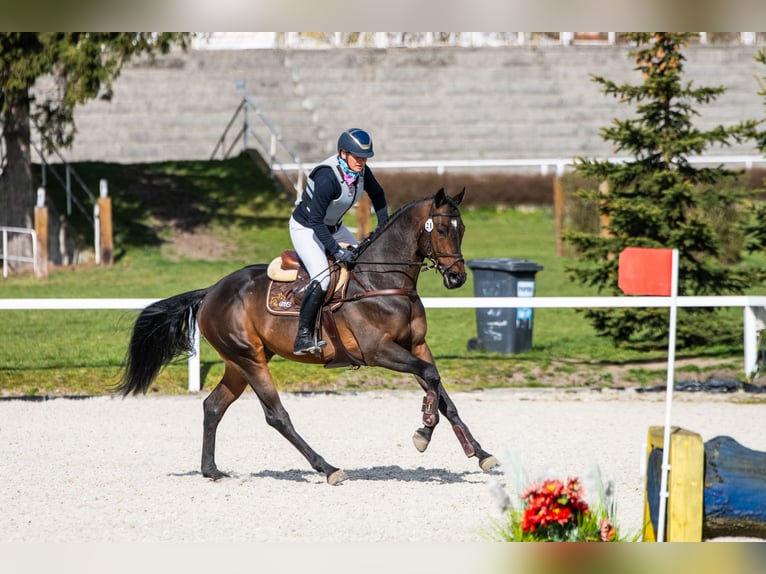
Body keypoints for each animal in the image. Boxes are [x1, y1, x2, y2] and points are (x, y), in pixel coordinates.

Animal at [116, 188, 497, 484]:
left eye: (462, 229)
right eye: (443, 229)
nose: (458, 278)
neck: (383, 281)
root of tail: (211, 291)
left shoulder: (416, 345)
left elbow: (442, 392)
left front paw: (478, 452)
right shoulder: (380, 351)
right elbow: (431, 378)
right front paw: (424, 431)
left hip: (240, 363)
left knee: (213, 406)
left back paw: (211, 470)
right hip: (250, 360)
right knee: (276, 416)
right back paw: (327, 468)